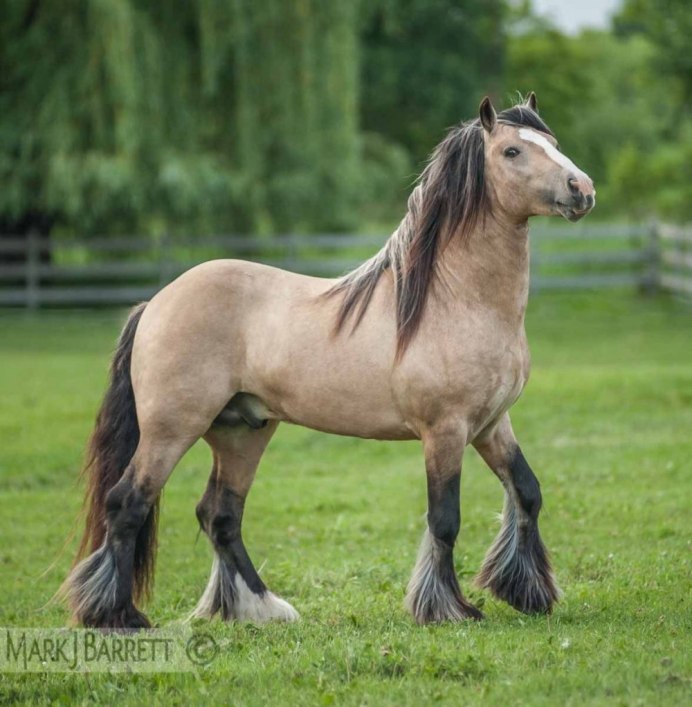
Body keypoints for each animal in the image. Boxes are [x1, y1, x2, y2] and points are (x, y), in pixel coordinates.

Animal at [60, 94, 596, 632]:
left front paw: (528, 592)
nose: (583, 190)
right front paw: (448, 608)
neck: (456, 301)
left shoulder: (490, 424)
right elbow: (445, 518)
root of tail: (155, 303)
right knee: (129, 504)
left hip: (241, 433)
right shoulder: (445, 431)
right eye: (511, 151)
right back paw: (119, 614)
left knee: (220, 515)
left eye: (551, 142)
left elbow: (527, 492)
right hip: (171, 429)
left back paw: (260, 608)